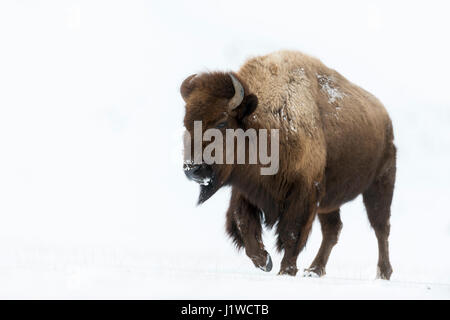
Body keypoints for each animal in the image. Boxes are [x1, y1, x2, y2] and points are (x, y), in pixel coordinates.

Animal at [181, 50, 396, 280]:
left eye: (222, 123)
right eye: (186, 124)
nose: (192, 169)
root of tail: (385, 118)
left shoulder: (304, 192)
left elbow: (292, 232)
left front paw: (286, 270)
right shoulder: (247, 190)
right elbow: (243, 223)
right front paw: (264, 261)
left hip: (379, 185)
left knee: (380, 227)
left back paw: (383, 273)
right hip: (329, 201)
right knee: (333, 229)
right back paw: (314, 270)